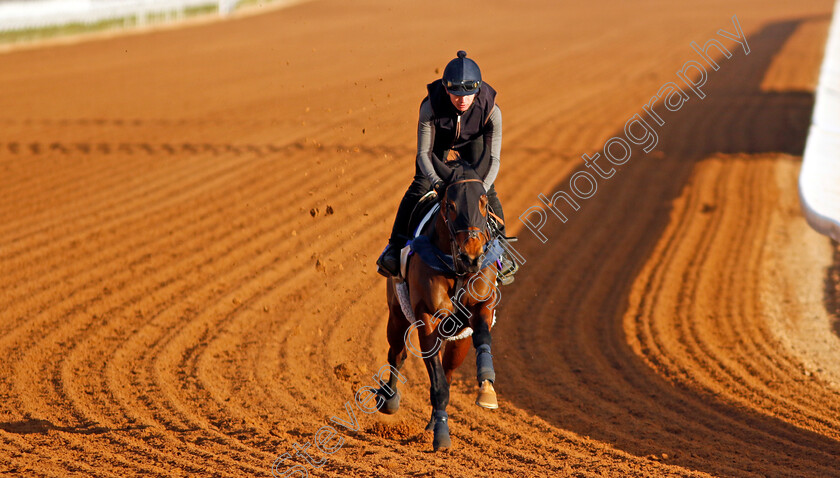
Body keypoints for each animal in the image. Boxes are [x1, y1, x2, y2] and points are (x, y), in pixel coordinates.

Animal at [378, 162, 502, 450]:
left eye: (483, 202)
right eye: (450, 205)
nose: (472, 256)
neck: (456, 267)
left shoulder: (480, 307)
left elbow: (482, 337)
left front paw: (487, 390)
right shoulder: (427, 317)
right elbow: (436, 381)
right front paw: (442, 436)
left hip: (458, 339)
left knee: (449, 369)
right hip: (396, 313)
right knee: (397, 354)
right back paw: (389, 399)